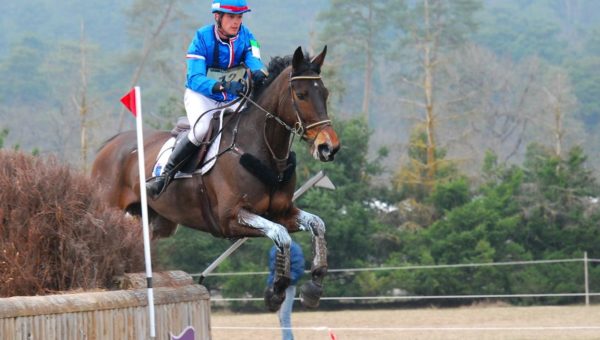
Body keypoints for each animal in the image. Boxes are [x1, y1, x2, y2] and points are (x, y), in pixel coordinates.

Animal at [91, 45, 340, 310]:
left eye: (325, 93)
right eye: (301, 95)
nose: (329, 147)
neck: (263, 150)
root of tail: (109, 145)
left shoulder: (281, 212)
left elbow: (317, 225)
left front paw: (314, 286)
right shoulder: (230, 218)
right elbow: (281, 235)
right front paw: (277, 290)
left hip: (158, 222)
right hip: (108, 210)